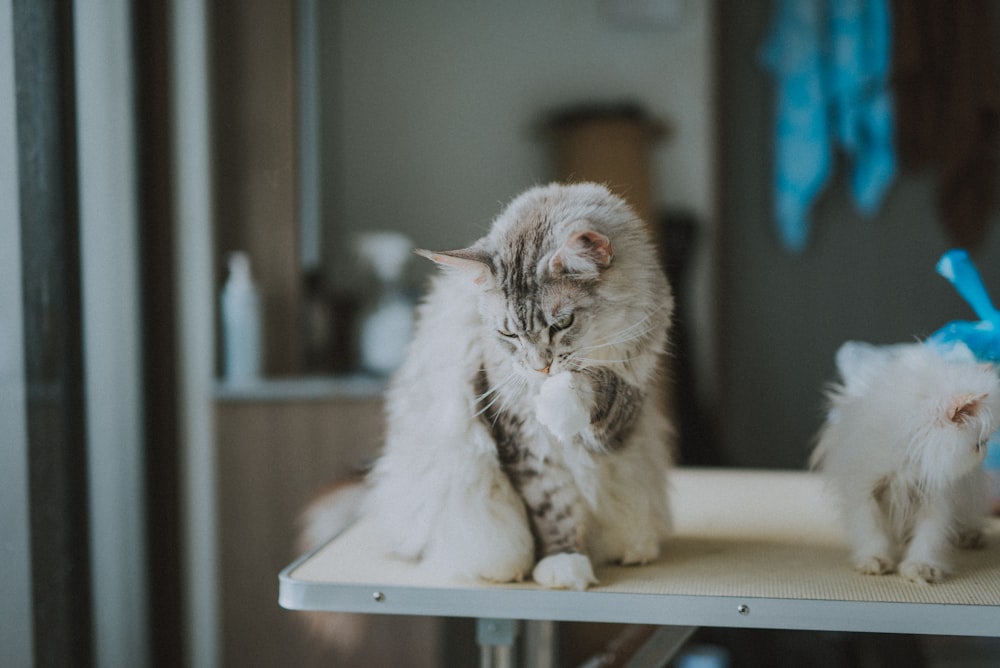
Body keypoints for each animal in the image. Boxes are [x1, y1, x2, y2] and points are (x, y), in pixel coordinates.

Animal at [306, 183, 680, 588]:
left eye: (562, 324)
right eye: (509, 334)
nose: (540, 367)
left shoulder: (628, 403)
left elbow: (598, 382)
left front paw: (560, 400)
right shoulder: (519, 434)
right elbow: (552, 506)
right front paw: (562, 562)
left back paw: (634, 549)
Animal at [812, 342, 1000, 580]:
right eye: (979, 444)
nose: (985, 452)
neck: (908, 460)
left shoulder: (934, 495)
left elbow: (929, 535)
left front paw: (920, 567)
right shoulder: (864, 490)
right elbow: (870, 529)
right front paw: (875, 560)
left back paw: (970, 537)